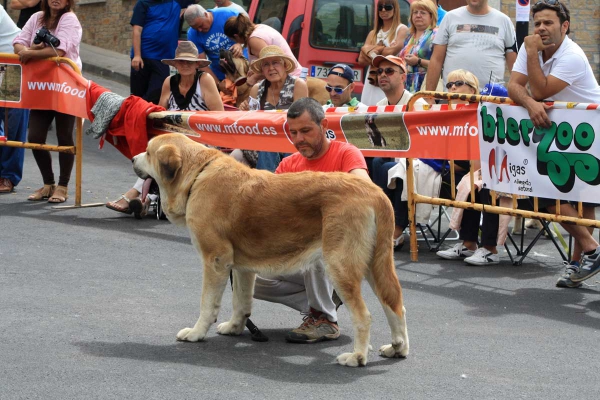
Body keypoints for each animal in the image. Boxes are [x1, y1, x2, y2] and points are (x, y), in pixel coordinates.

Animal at [134, 134, 410, 366]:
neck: (197, 176)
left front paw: (196, 333)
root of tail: (375, 192)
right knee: (395, 304)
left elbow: (207, 303)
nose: (134, 159)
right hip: (376, 265)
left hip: (339, 265)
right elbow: (241, 302)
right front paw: (235, 327)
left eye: (148, 152)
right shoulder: (241, 269)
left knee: (364, 316)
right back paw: (397, 348)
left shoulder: (215, 261)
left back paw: (357, 357)